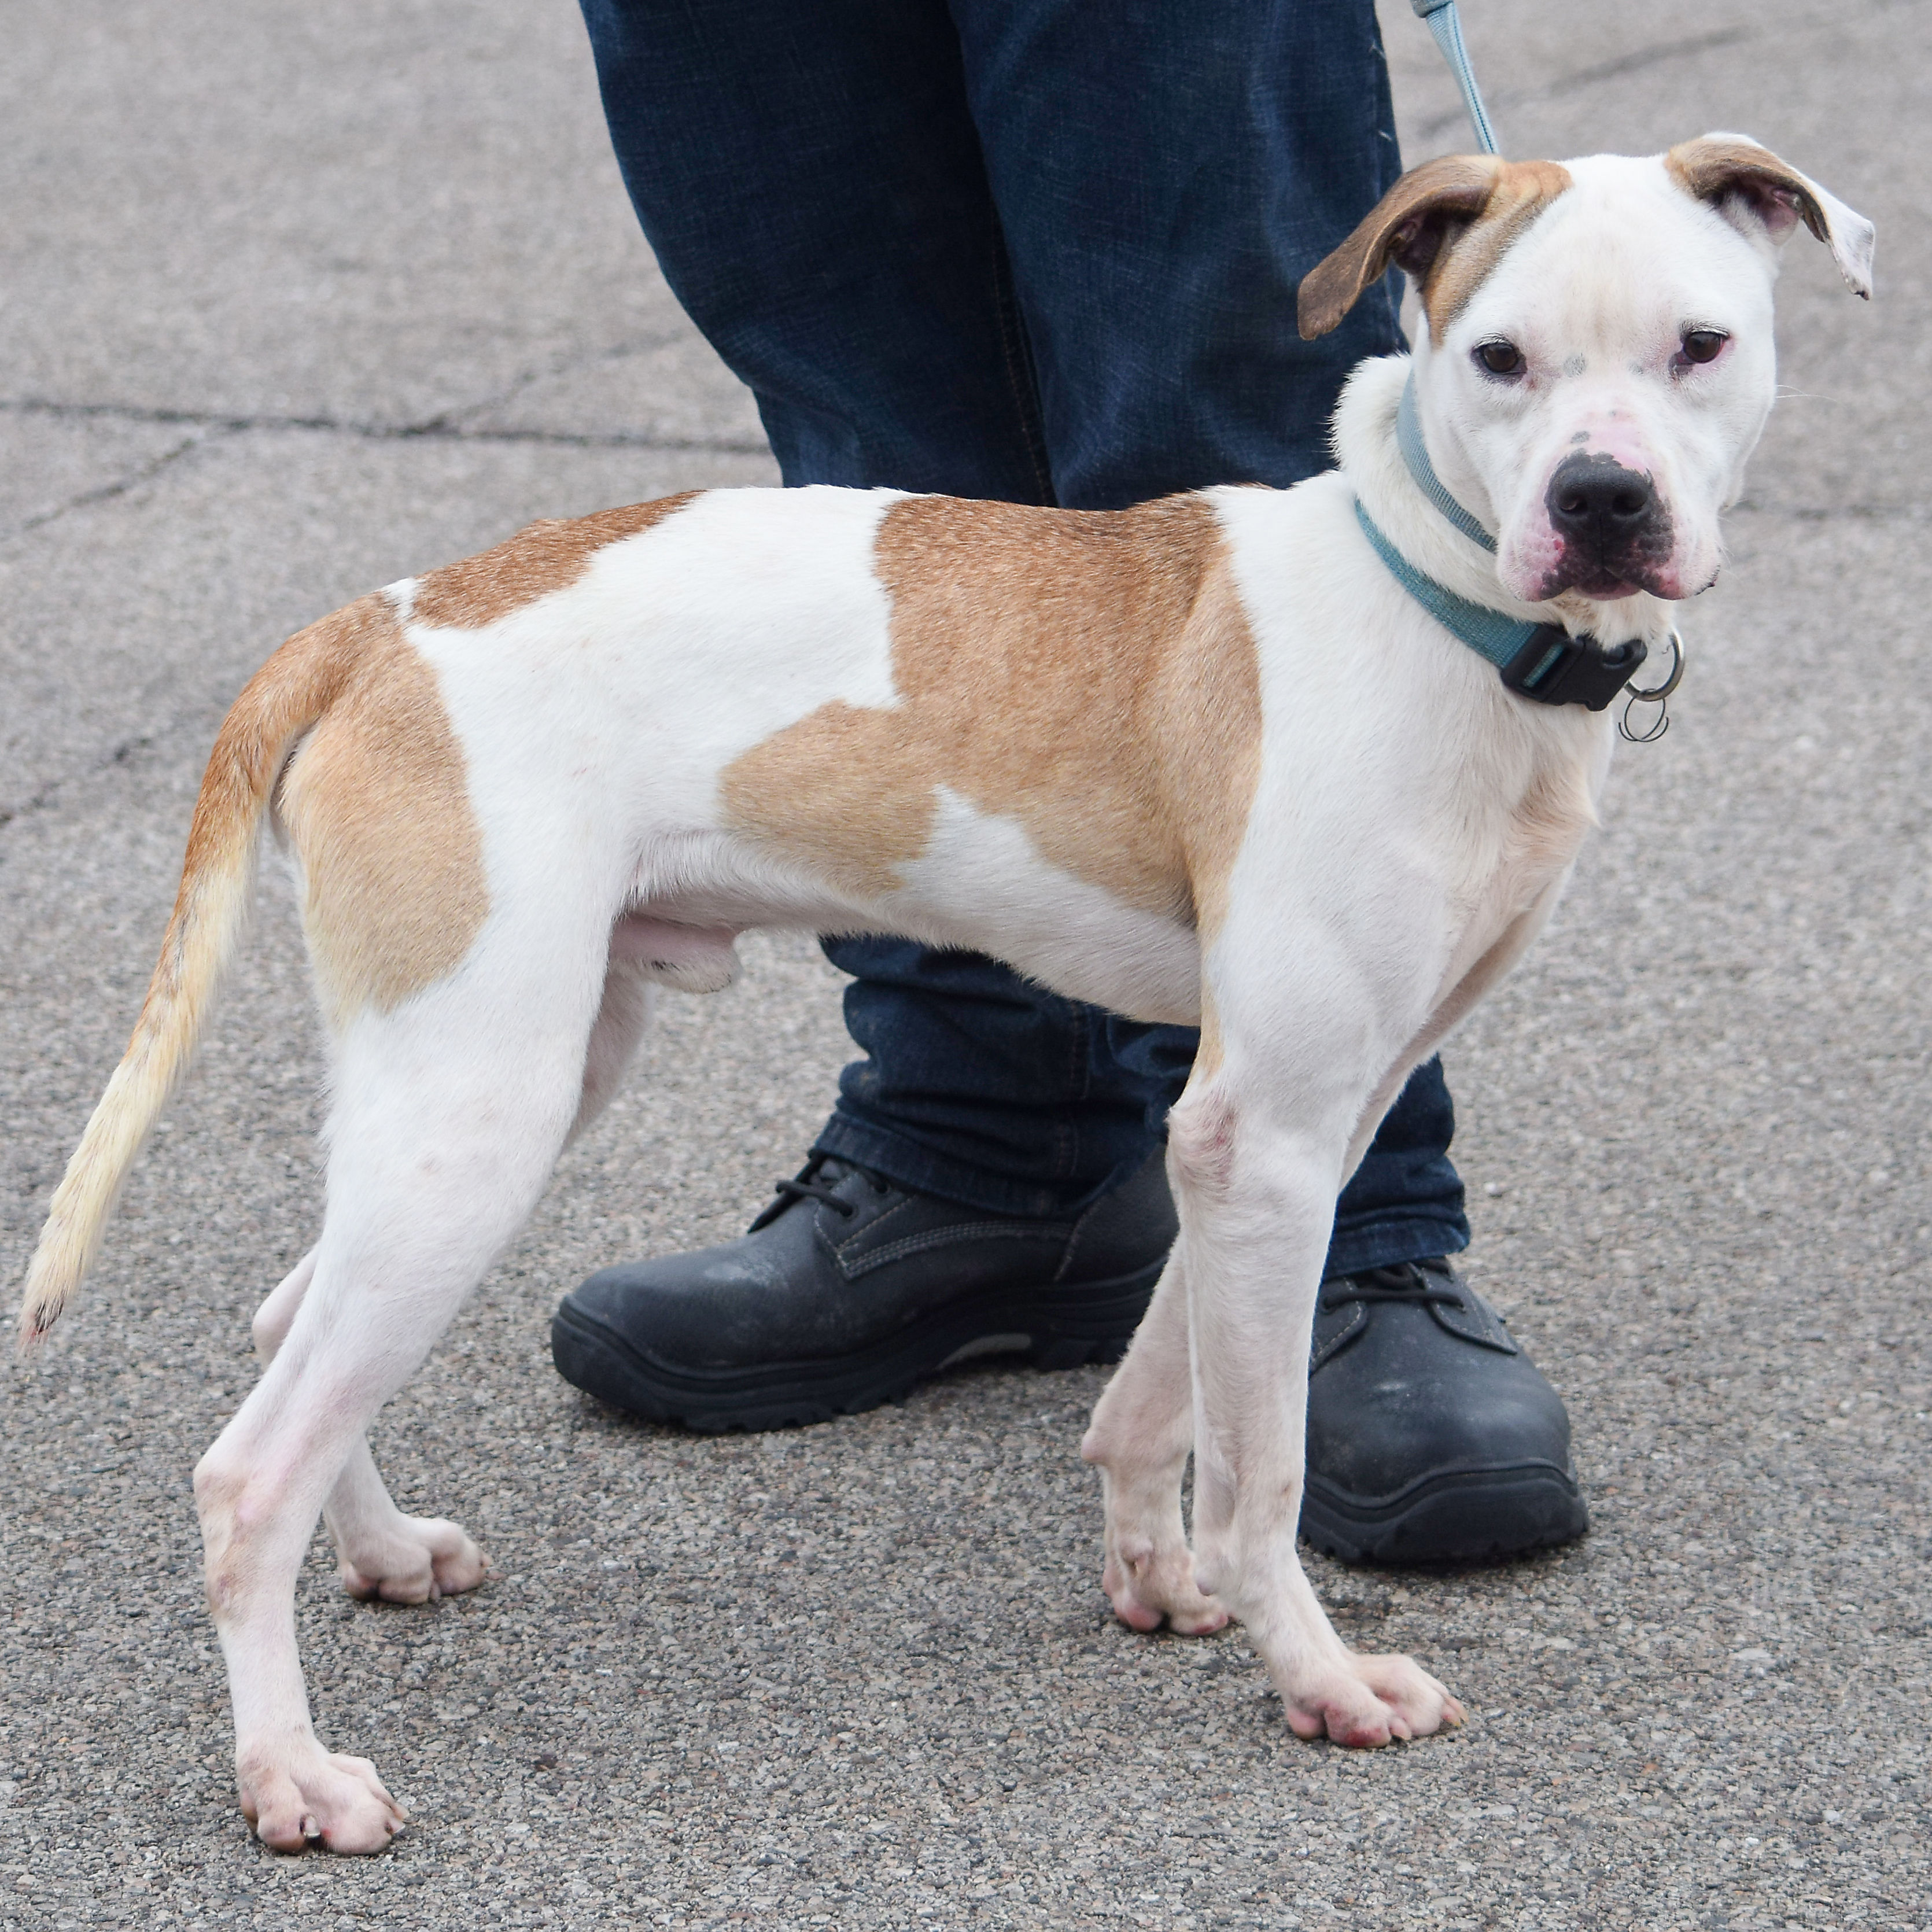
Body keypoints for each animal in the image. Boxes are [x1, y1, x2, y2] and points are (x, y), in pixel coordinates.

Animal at [19, 128, 1870, 1847]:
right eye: (1498, 359)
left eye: (1699, 346)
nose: (1604, 501)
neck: (1439, 605)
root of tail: (379, 619)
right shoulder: (1267, 1130)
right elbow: (1260, 1465)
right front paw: (1318, 1678)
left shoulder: (1290, 1133)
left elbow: (1159, 1378)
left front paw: (1153, 1569)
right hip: (478, 1110)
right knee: (244, 1467)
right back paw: (289, 1775)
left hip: (492, 1082)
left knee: (291, 1326)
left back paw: (389, 1551)